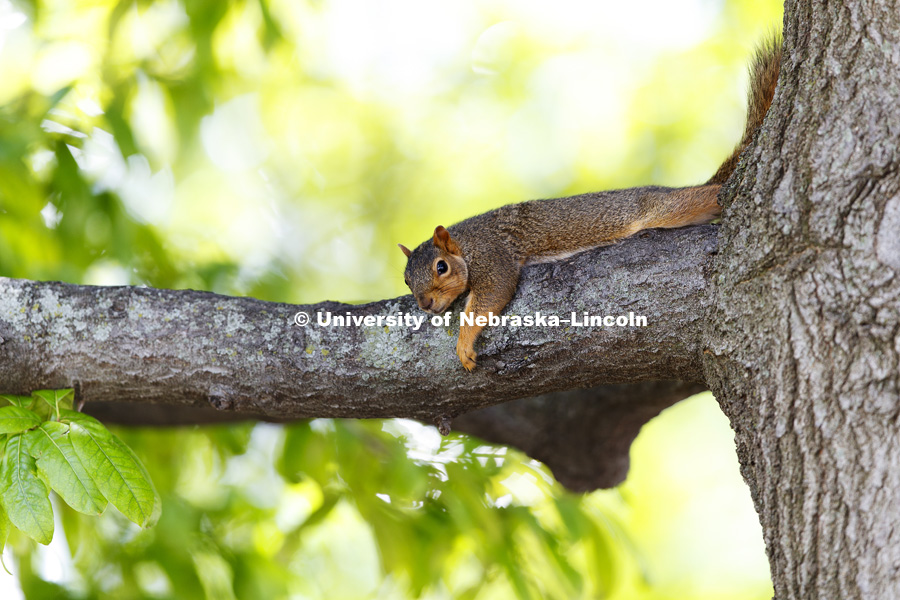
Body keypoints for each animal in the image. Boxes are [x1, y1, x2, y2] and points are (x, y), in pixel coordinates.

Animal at [400, 37, 780, 370]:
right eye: (406, 280)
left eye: (441, 267)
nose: (426, 304)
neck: (464, 242)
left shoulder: (494, 254)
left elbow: (492, 294)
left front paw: (464, 343)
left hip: (660, 208)